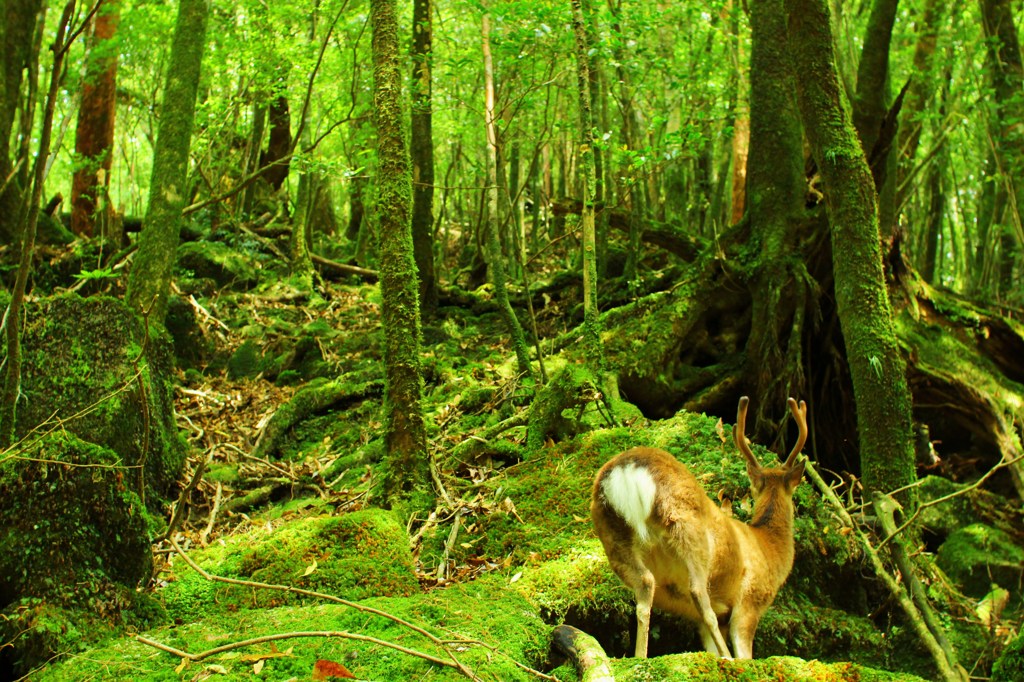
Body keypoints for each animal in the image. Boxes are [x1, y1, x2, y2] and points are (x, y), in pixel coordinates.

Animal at [593, 395, 806, 655]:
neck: (768, 548)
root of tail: (627, 468)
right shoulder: (750, 601)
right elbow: (744, 652)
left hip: (611, 533)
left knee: (645, 586)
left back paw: (640, 655)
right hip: (686, 528)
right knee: (698, 593)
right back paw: (726, 657)